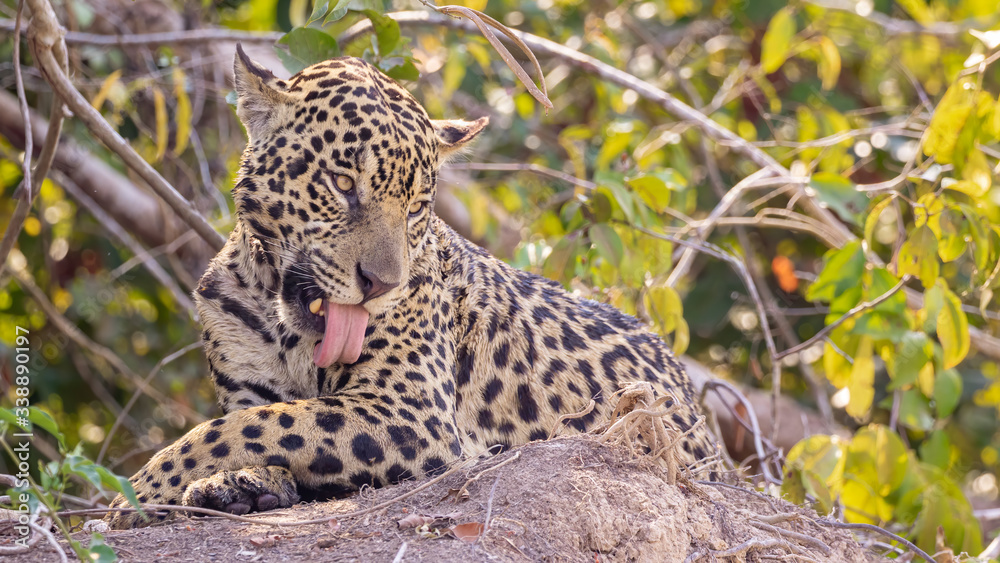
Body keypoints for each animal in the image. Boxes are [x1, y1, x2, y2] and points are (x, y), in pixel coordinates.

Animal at [105, 44, 719, 528]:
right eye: (341, 183)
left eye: (416, 206)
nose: (381, 284)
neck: (281, 321)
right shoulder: (256, 385)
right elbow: (253, 420)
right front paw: (231, 484)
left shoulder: (411, 410)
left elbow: (252, 426)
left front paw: (141, 489)